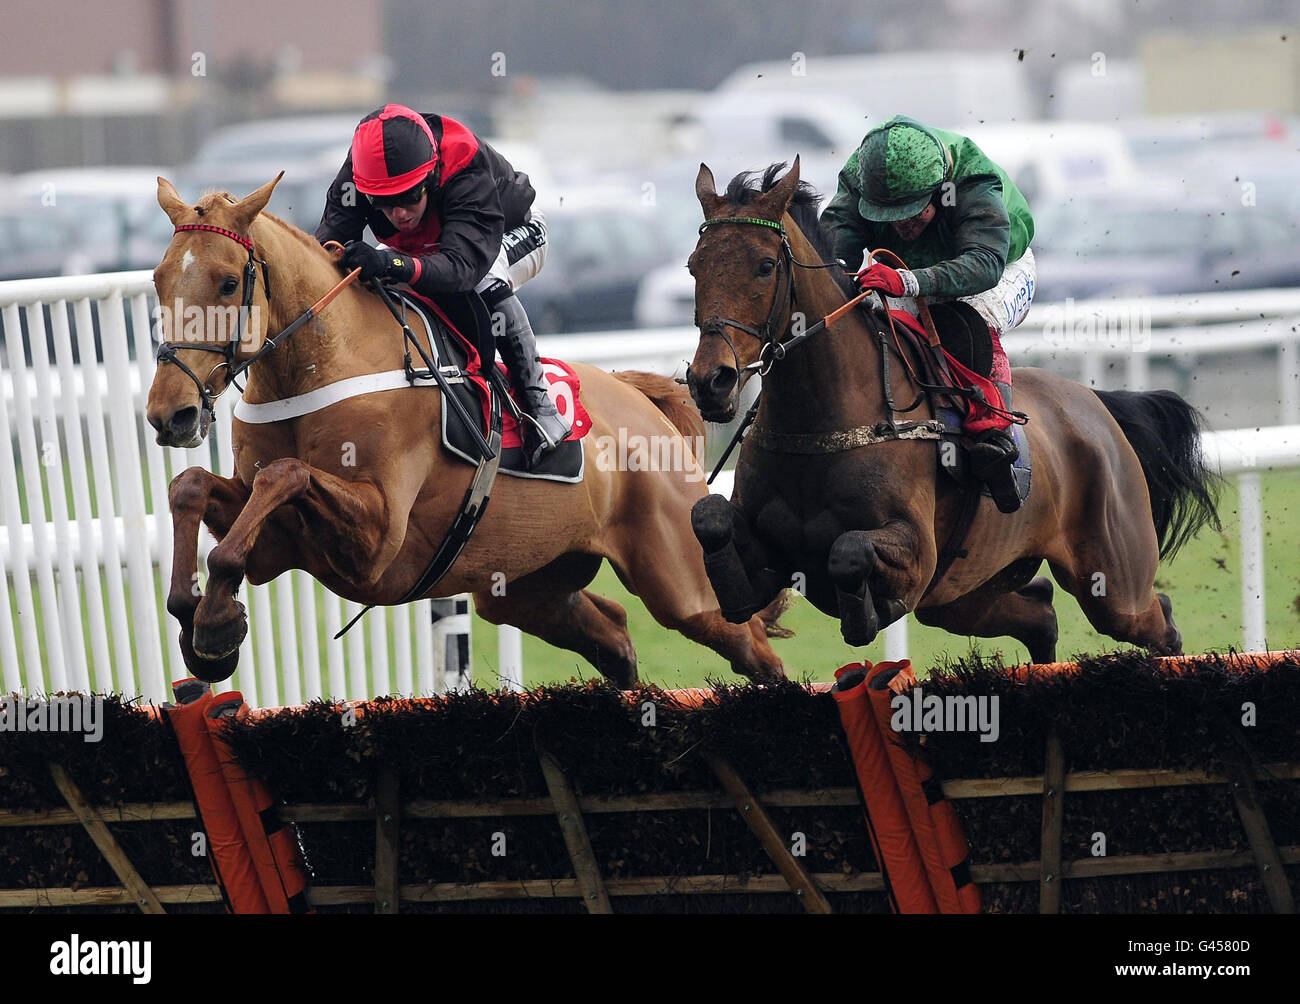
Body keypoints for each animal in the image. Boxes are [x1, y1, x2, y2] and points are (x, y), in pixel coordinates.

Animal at [142, 174, 780, 691]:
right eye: (158, 280)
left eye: (228, 283)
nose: (170, 414)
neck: (321, 364)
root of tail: (644, 404)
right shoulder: (281, 543)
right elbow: (192, 486)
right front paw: (201, 618)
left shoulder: (376, 541)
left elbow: (284, 474)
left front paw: (215, 623)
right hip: (528, 590)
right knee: (616, 634)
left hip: (682, 584)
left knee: (753, 647)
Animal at [686, 158, 1222, 665]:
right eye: (695, 265)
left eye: (764, 266)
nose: (711, 381)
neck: (823, 420)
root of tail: (1097, 404)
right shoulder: (768, 553)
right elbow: (708, 517)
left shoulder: (916, 556)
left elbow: (848, 551)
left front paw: (864, 615)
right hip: (964, 592)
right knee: (1042, 614)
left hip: (1112, 579)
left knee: (1158, 620)